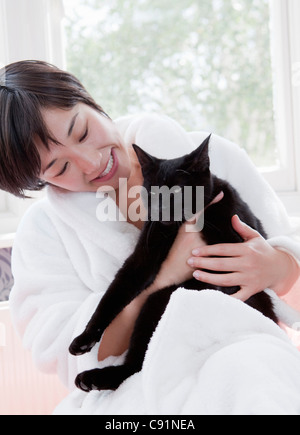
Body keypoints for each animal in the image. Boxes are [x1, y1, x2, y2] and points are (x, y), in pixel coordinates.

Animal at [69, 136, 276, 392]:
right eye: (152, 190)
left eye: (177, 190)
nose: (161, 209)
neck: (178, 227)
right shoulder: (143, 257)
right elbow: (113, 295)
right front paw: (84, 338)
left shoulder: (241, 242)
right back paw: (91, 379)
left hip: (159, 299)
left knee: (136, 367)